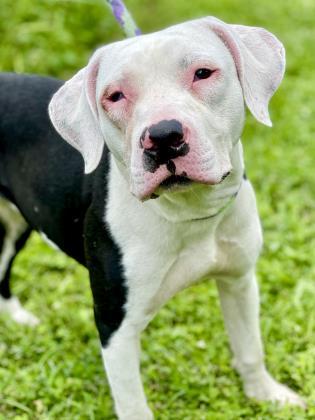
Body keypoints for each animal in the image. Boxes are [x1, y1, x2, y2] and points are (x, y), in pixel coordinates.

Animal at [0, 16, 306, 420]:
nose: (162, 136)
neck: (189, 212)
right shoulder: (116, 323)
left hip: (15, 223)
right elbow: (132, 402)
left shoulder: (239, 281)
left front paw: (266, 395)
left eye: (203, 73)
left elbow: (250, 348)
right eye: (115, 96)